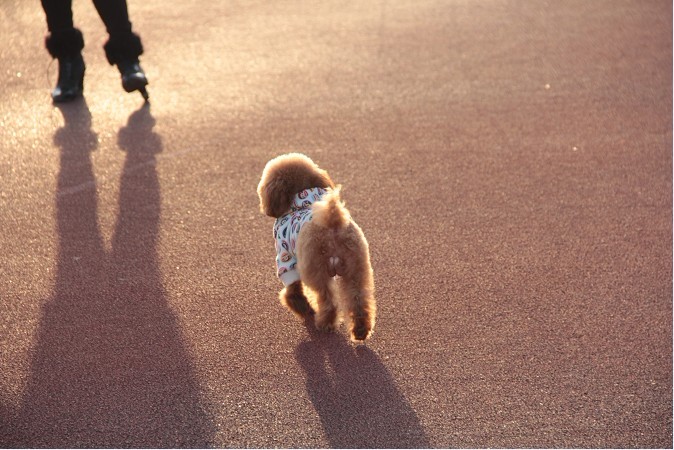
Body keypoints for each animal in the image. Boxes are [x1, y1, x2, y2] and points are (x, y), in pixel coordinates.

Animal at [256, 155, 376, 342]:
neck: (303, 200)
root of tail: (332, 225)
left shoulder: (285, 258)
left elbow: (294, 290)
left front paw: (300, 307)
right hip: (356, 267)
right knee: (358, 298)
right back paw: (361, 330)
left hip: (316, 268)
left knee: (328, 300)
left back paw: (325, 324)